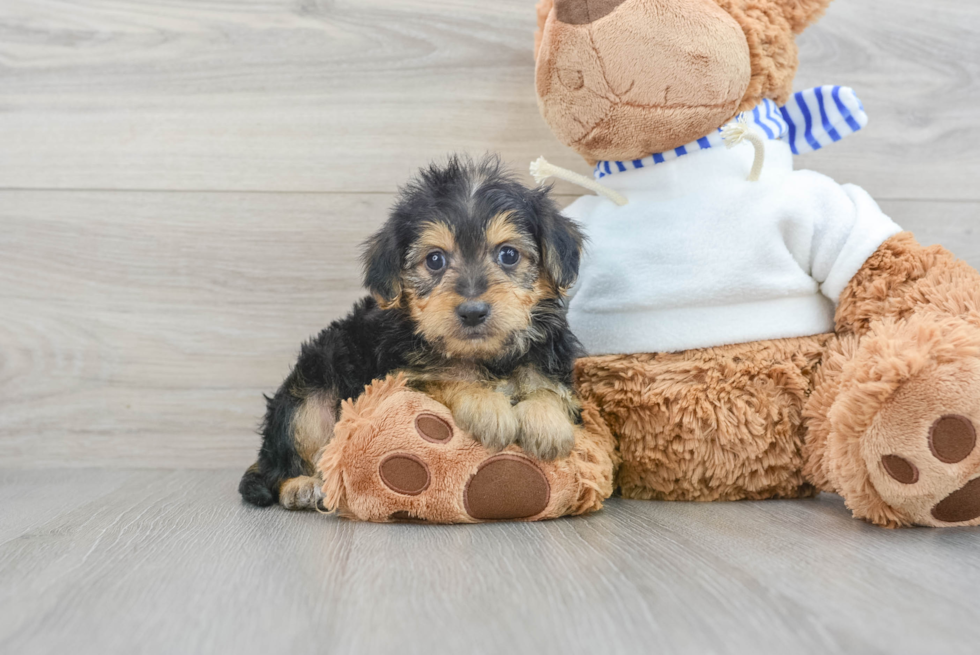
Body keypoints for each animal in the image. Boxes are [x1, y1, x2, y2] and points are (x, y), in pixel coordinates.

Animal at [240, 156, 584, 510]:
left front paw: (547, 423)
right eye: (434, 260)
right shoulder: (398, 378)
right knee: (284, 460)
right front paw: (486, 405)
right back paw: (301, 486)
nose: (473, 311)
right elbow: (447, 377)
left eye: (509, 254)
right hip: (308, 394)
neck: (484, 356)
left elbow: (547, 388)